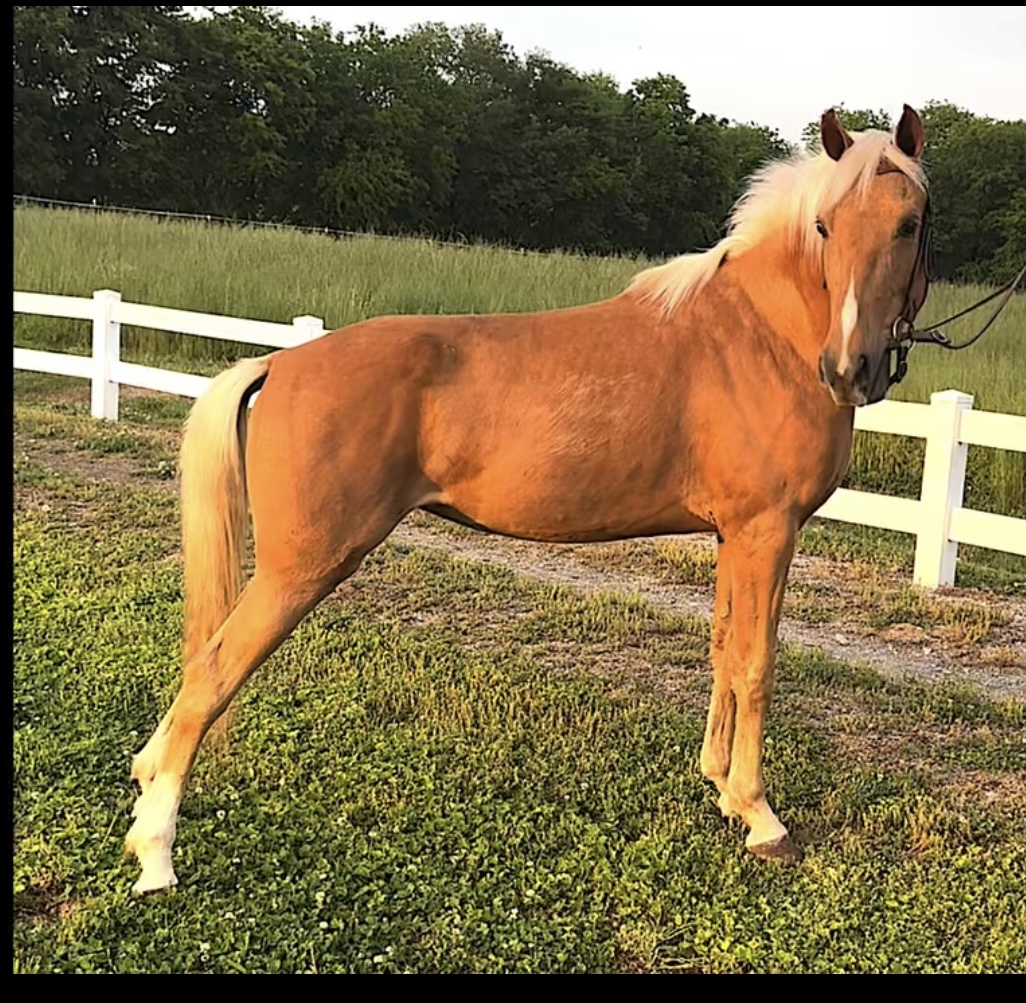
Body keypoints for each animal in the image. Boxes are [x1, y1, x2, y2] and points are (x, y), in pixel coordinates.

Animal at [125, 105, 930, 895]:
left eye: (909, 223)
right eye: (824, 225)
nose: (849, 368)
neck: (759, 337)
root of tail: (281, 364)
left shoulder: (735, 534)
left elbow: (725, 652)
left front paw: (724, 789)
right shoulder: (769, 531)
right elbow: (758, 664)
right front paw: (762, 818)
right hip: (299, 569)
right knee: (210, 675)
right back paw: (156, 853)